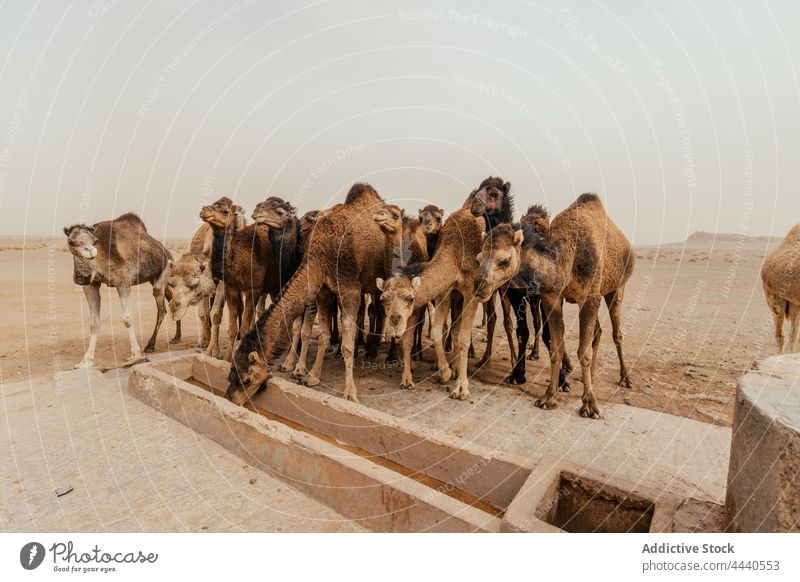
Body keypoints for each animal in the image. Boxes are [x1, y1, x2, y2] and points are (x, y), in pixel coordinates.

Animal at [63, 214, 172, 370]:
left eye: (95, 241)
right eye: (71, 241)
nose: (90, 251)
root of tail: (166, 251)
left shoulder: (123, 281)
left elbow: (127, 318)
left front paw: (136, 356)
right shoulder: (90, 285)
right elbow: (94, 323)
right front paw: (85, 361)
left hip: (164, 271)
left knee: (162, 307)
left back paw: (151, 345)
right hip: (156, 277)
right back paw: (176, 338)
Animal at [200, 196, 272, 360]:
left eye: (225, 211)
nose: (204, 210)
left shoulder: (253, 289)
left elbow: (244, 328)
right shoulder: (231, 289)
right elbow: (232, 329)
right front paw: (227, 359)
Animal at [225, 182, 394, 406]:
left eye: (246, 378)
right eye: (231, 373)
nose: (230, 398)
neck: (320, 255)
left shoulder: (349, 287)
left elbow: (347, 344)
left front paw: (350, 392)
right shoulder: (322, 291)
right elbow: (323, 334)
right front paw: (311, 376)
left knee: (379, 310)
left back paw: (377, 351)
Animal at [374, 176, 512, 400]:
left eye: (410, 298)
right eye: (383, 299)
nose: (395, 324)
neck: (455, 250)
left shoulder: (471, 291)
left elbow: (462, 337)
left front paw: (461, 387)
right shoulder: (446, 291)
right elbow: (438, 330)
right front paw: (444, 372)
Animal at [472, 195, 636, 420]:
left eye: (505, 260)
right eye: (478, 258)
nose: (479, 286)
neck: (566, 260)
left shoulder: (589, 297)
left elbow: (582, 352)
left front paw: (590, 405)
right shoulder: (552, 298)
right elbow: (555, 347)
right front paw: (549, 397)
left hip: (616, 288)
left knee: (616, 333)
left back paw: (625, 378)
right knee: (598, 331)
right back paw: (591, 376)